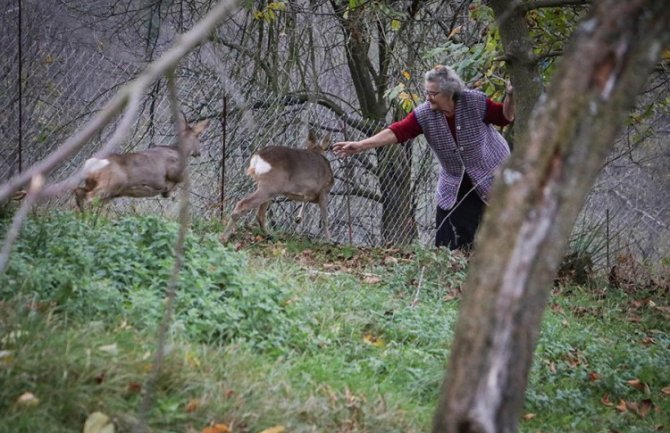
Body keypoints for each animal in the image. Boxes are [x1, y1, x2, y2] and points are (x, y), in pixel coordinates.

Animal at [73, 111, 210, 211]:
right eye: (199, 137)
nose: (199, 153)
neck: (179, 151)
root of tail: (90, 164)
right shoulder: (175, 172)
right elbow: (180, 180)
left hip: (103, 187)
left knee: (79, 192)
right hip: (112, 183)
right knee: (89, 198)